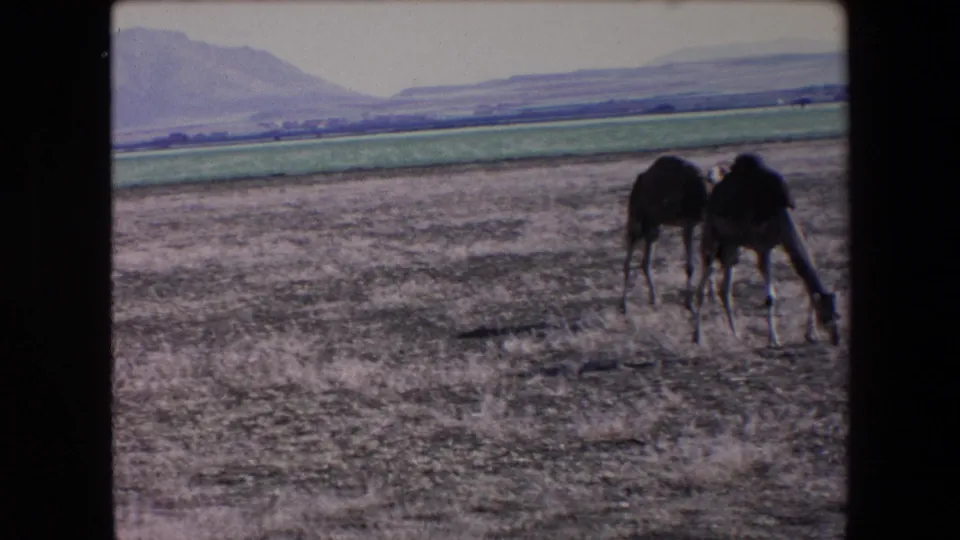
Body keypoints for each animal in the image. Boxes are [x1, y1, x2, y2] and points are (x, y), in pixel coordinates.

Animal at [620, 155, 724, 314]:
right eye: (711, 175)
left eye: (722, 172)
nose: (711, 178)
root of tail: (639, 180)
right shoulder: (688, 223)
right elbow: (690, 266)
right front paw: (689, 304)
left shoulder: (704, 223)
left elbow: (707, 260)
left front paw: (711, 297)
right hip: (637, 217)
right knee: (628, 258)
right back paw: (624, 305)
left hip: (653, 225)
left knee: (645, 261)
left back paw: (654, 299)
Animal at [691, 153, 841, 347]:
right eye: (824, 317)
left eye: (837, 314)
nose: (836, 338)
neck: (779, 211)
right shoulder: (762, 248)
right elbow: (770, 297)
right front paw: (774, 339)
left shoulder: (775, 242)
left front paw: (810, 334)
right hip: (712, 235)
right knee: (704, 280)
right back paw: (698, 337)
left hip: (732, 245)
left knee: (725, 287)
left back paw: (736, 333)